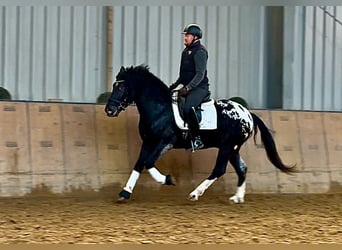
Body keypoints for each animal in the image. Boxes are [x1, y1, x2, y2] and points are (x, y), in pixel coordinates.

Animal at [105, 64, 296, 203]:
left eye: (121, 87)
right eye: (114, 86)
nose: (109, 110)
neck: (160, 109)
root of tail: (248, 114)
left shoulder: (165, 142)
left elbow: (149, 162)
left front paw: (168, 180)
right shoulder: (148, 142)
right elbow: (139, 164)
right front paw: (125, 192)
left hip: (227, 146)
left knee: (219, 169)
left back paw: (195, 193)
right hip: (232, 148)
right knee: (242, 168)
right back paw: (237, 198)